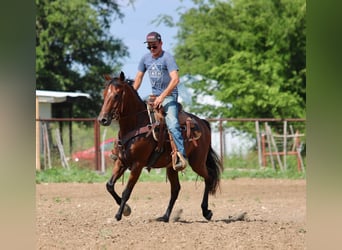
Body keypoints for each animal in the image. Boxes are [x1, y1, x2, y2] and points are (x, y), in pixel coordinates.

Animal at [97, 71, 223, 222]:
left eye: (116, 95)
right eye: (104, 94)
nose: (102, 119)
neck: (136, 124)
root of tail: (202, 123)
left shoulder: (138, 165)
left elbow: (127, 191)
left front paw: (119, 214)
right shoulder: (121, 161)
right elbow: (109, 185)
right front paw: (126, 209)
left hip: (197, 162)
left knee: (208, 177)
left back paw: (206, 211)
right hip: (172, 167)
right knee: (175, 189)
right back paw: (165, 216)